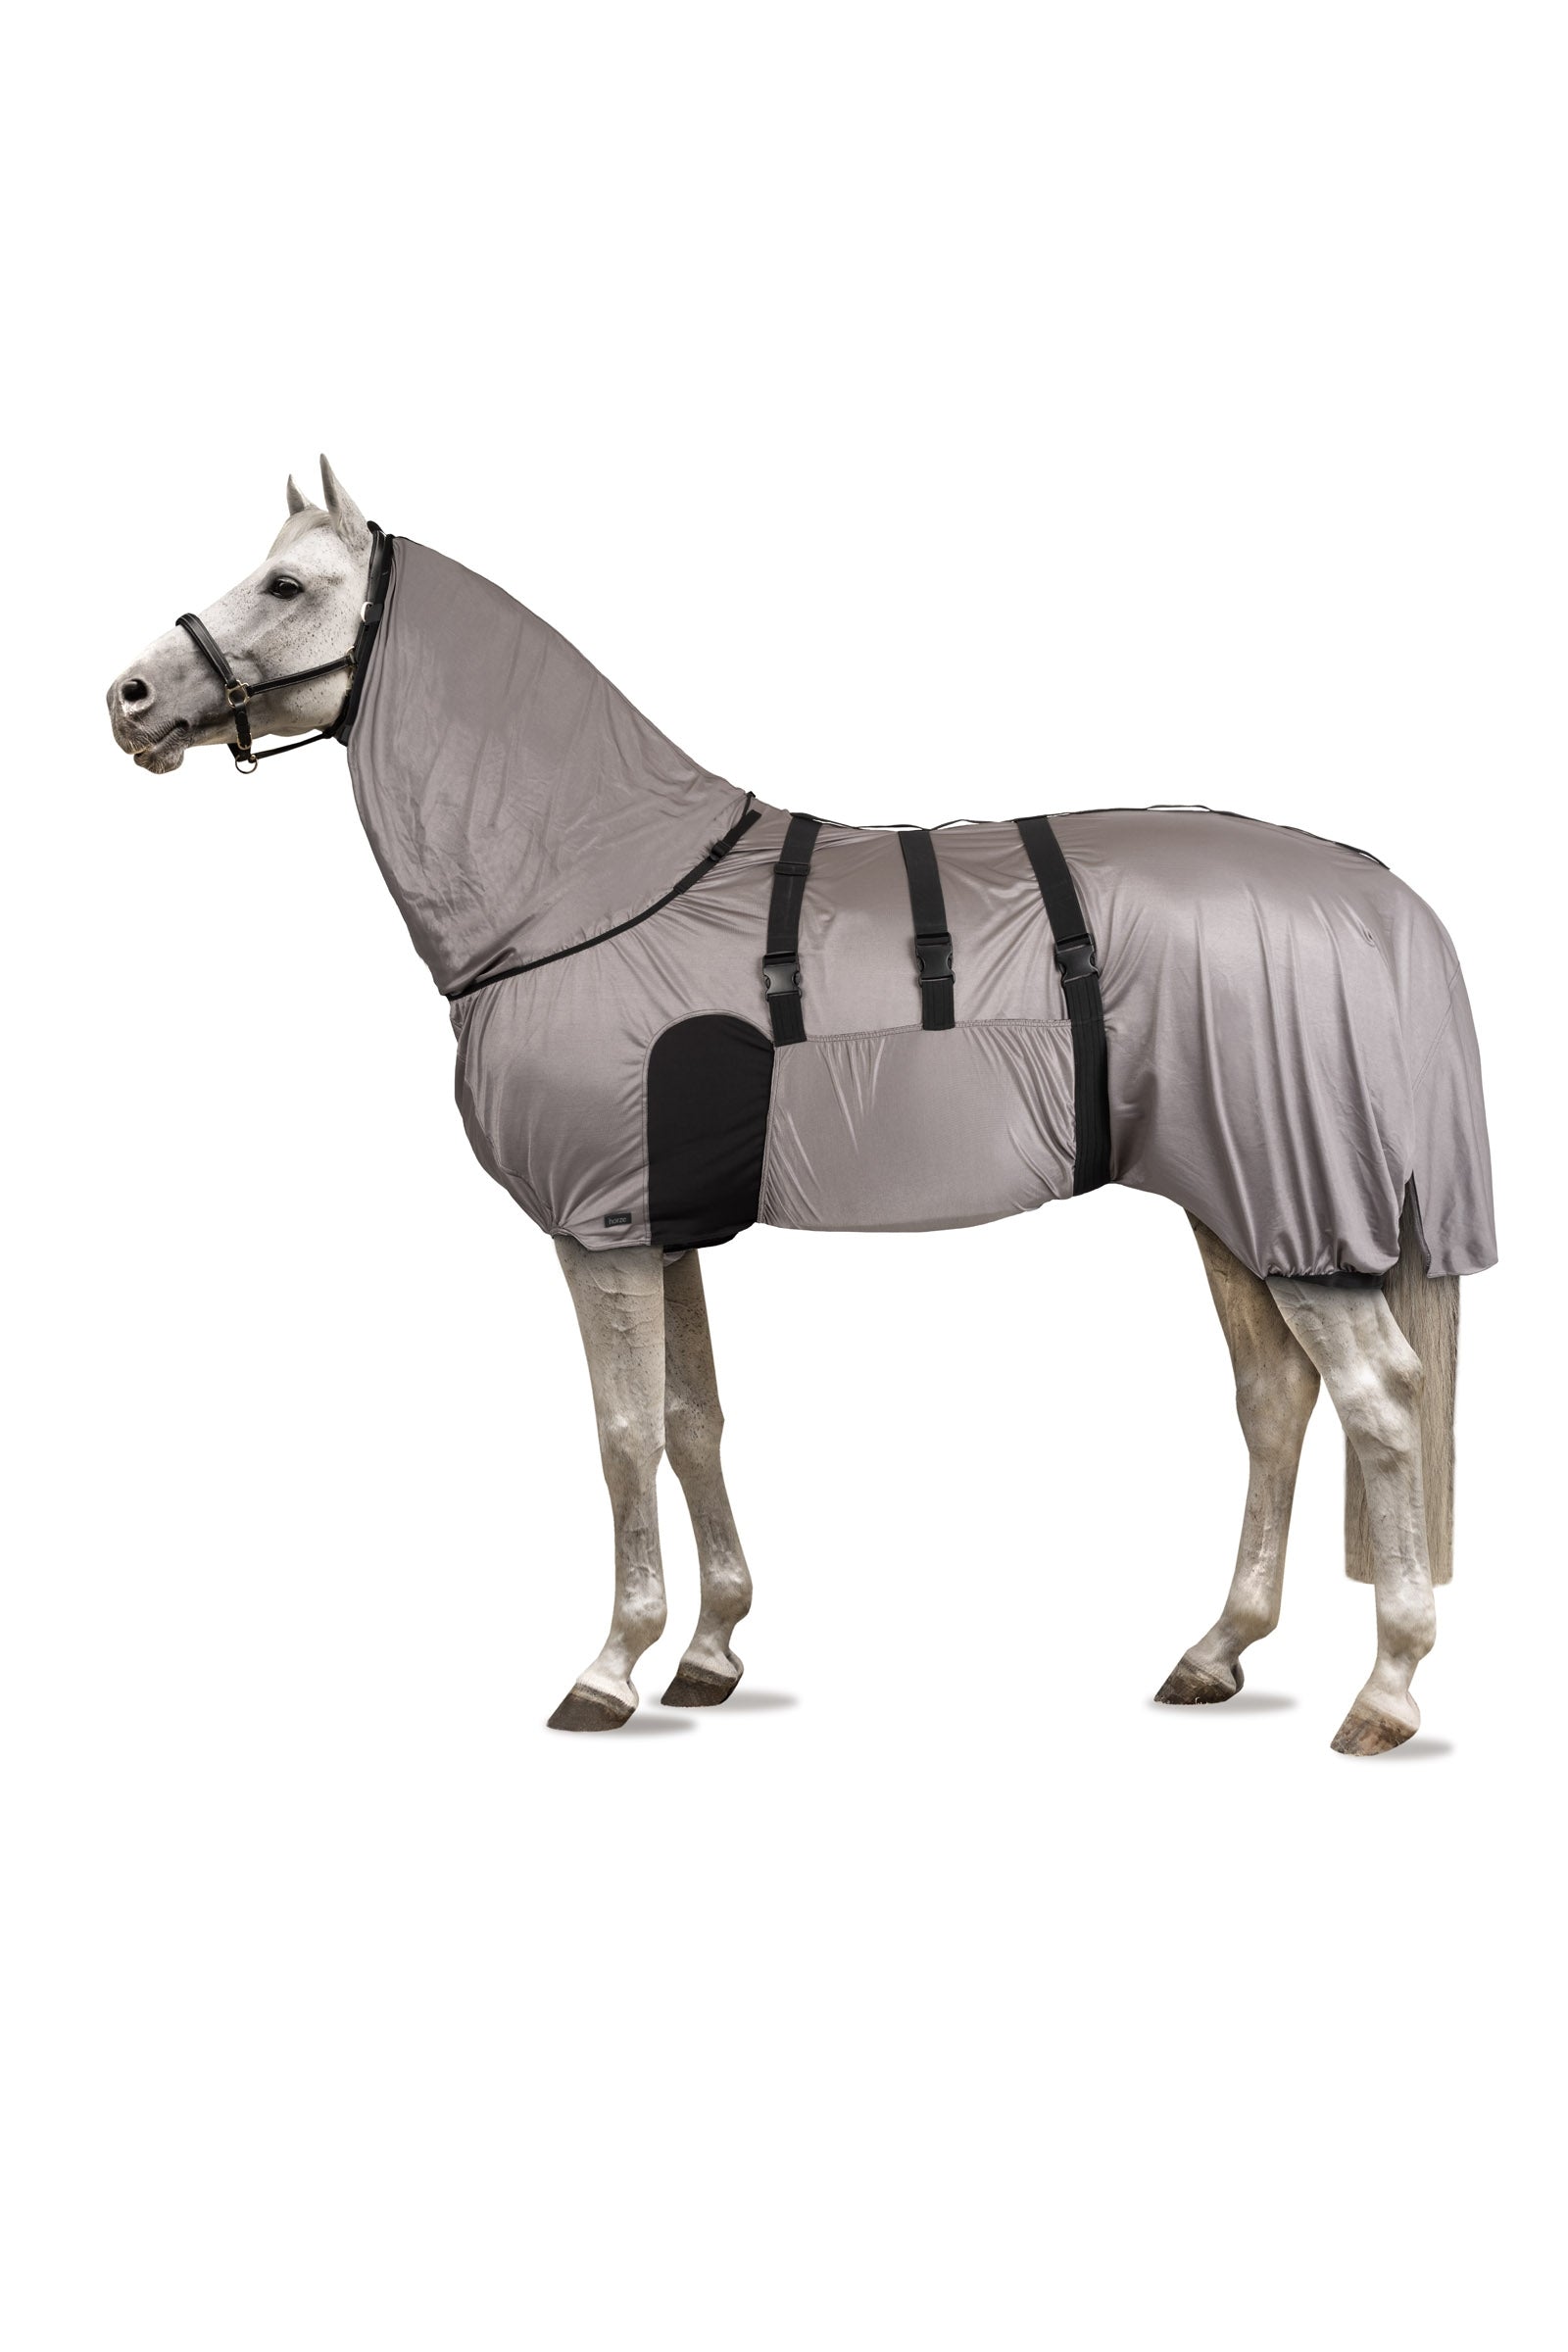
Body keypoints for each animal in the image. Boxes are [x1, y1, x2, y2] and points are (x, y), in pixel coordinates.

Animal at [105, 458, 1494, 1755]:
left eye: (288, 585)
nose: (128, 700)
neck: (587, 886)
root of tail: (1370, 894)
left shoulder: (597, 1230)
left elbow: (623, 1434)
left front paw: (610, 1667)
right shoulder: (658, 1229)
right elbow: (692, 1421)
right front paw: (709, 1650)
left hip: (1292, 1208)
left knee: (1380, 1403)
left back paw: (1383, 1691)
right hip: (1236, 1204)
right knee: (1273, 1401)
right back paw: (1217, 1651)